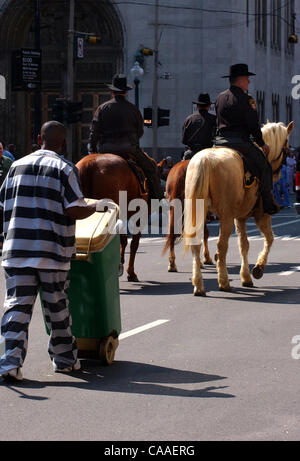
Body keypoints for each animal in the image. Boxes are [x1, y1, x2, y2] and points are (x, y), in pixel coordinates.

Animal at [183, 121, 292, 294]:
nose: (279, 174)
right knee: (221, 245)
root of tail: (205, 159)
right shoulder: (261, 215)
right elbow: (269, 238)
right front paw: (258, 268)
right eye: (287, 147)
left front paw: (246, 277)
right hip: (225, 216)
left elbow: (244, 245)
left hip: (199, 213)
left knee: (197, 244)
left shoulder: (240, 218)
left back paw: (199, 285)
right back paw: (224, 282)